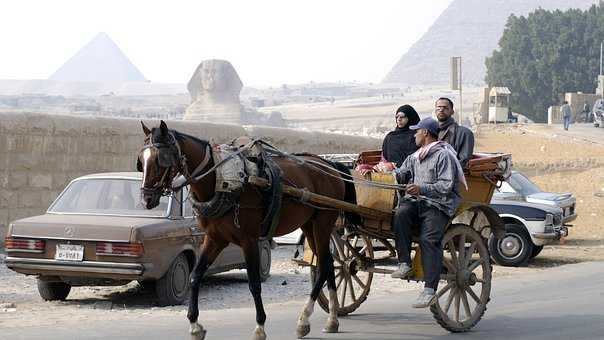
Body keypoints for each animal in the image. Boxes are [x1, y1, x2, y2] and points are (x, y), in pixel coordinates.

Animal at [137, 121, 358, 340]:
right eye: (141, 160)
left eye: (160, 159)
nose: (147, 199)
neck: (221, 180)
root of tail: (329, 165)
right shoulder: (215, 238)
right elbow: (195, 276)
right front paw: (195, 325)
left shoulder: (249, 240)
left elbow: (254, 283)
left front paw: (260, 327)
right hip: (309, 224)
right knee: (328, 263)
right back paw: (331, 319)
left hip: (323, 222)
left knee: (325, 264)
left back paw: (307, 319)